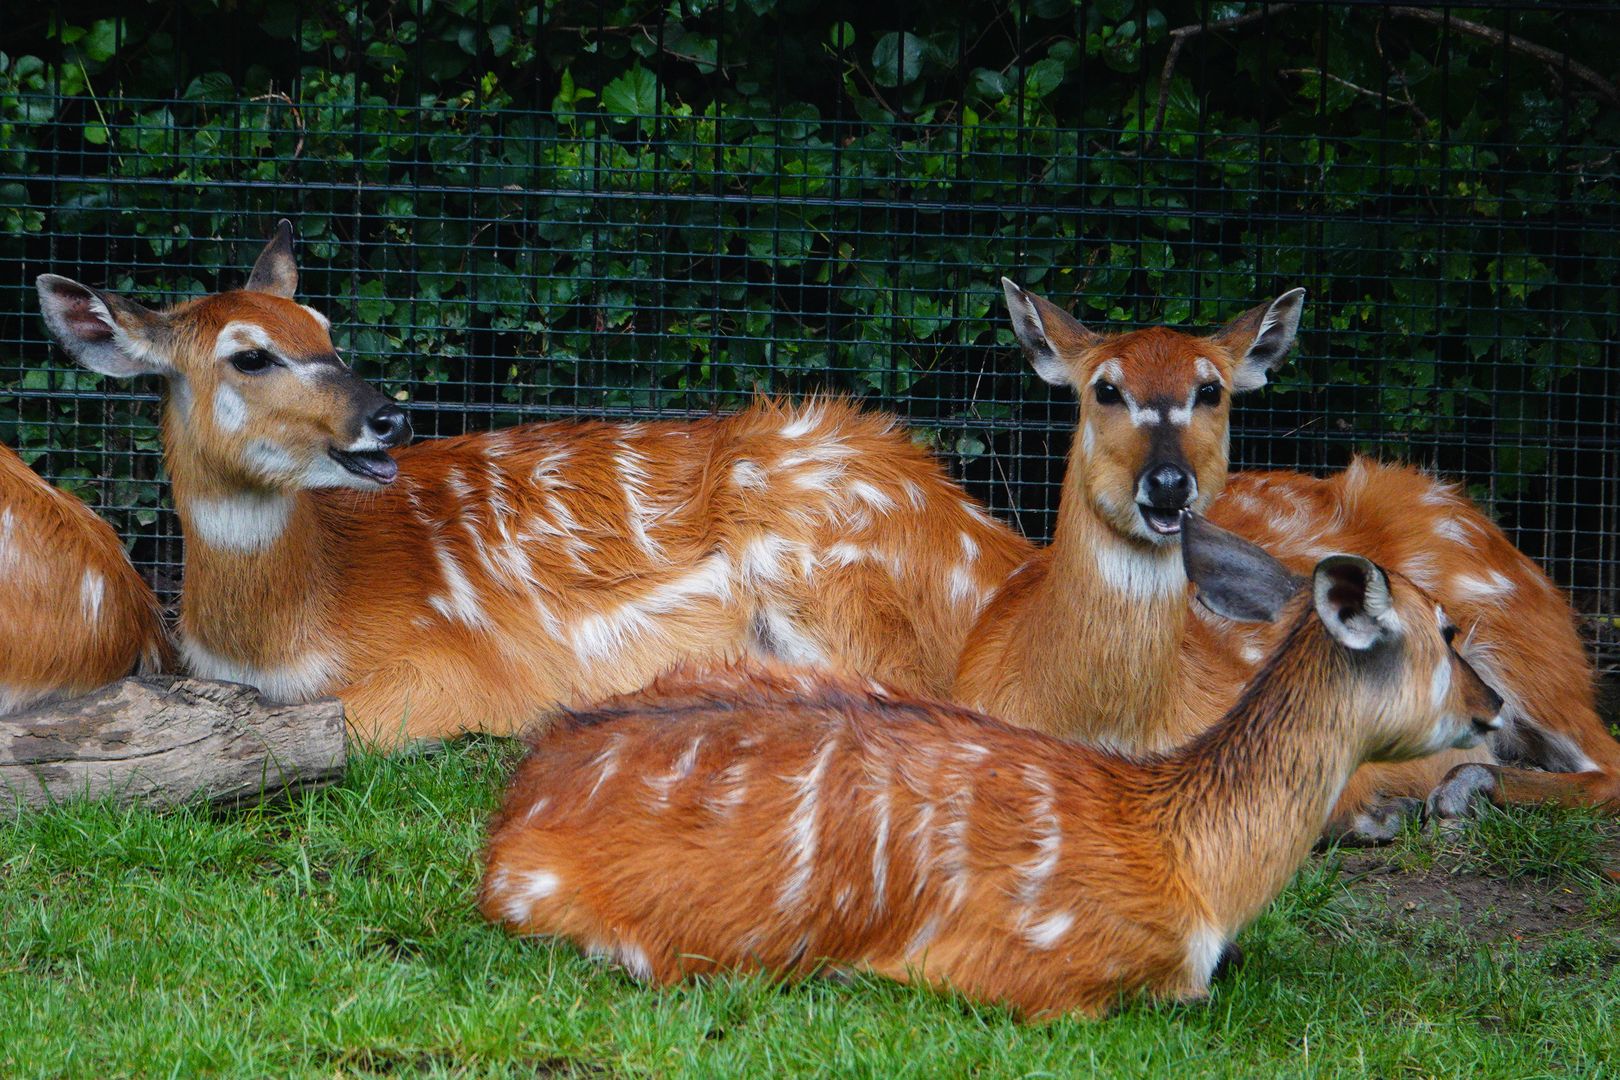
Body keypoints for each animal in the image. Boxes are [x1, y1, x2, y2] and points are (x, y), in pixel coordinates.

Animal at [952, 281, 1620, 841]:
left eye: (1210, 390)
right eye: (1106, 389)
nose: (1168, 482)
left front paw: (1387, 807)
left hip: (1520, 643)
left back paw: (1456, 792)